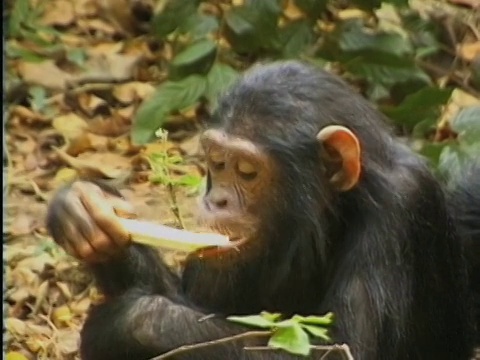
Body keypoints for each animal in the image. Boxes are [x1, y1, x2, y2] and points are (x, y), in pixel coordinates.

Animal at [46, 60, 476, 358]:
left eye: (247, 171)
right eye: (217, 163)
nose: (216, 199)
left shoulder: (399, 209)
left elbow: (341, 348)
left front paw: (127, 322)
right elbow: (187, 297)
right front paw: (82, 210)